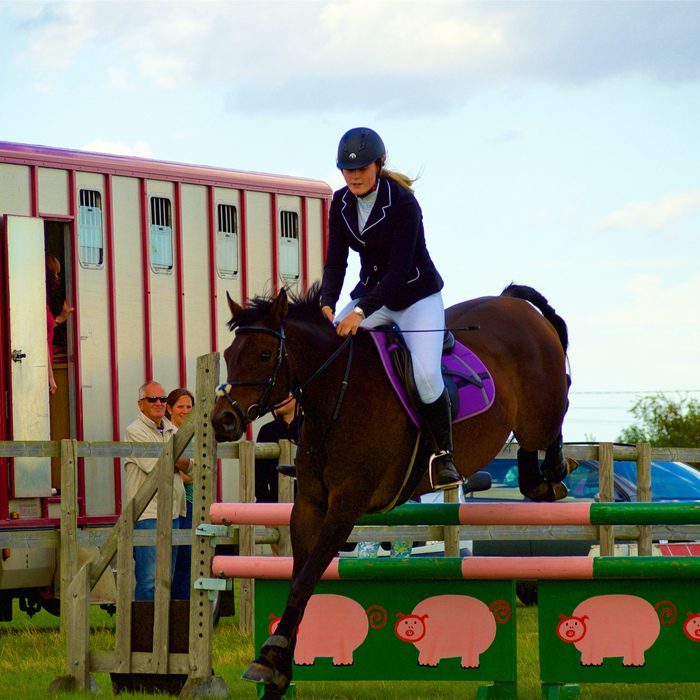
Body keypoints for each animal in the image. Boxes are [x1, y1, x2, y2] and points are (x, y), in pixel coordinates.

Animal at [211, 282, 572, 696]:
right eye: (229, 355)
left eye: (265, 354)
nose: (222, 420)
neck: (336, 394)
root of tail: (513, 302)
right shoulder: (309, 504)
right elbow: (299, 581)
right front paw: (276, 668)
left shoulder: (346, 504)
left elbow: (305, 579)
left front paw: (271, 658)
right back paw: (543, 481)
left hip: (539, 412)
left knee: (553, 421)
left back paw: (554, 473)